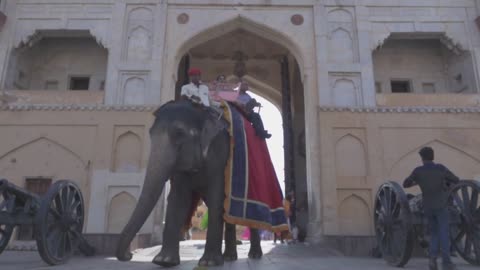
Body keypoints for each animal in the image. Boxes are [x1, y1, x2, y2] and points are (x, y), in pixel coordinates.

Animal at [116, 100, 262, 266]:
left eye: (179, 133)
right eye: (150, 133)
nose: (129, 255)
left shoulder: (220, 153)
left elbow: (216, 196)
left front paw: (208, 263)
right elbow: (178, 199)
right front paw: (164, 261)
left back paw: (254, 255)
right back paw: (229, 258)